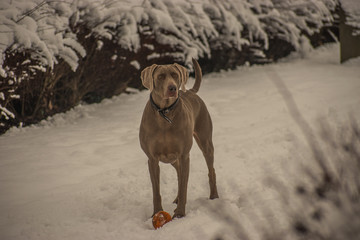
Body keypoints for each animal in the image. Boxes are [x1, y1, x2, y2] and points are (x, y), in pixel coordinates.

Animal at [139, 59, 218, 218]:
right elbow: (156, 191)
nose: (173, 88)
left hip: (205, 142)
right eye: (161, 76)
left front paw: (180, 213)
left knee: (210, 170)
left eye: (175, 75)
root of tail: (190, 91)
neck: (164, 114)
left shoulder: (184, 155)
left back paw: (214, 196)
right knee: (179, 173)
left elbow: (183, 186)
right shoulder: (152, 159)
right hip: (171, 159)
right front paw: (157, 212)